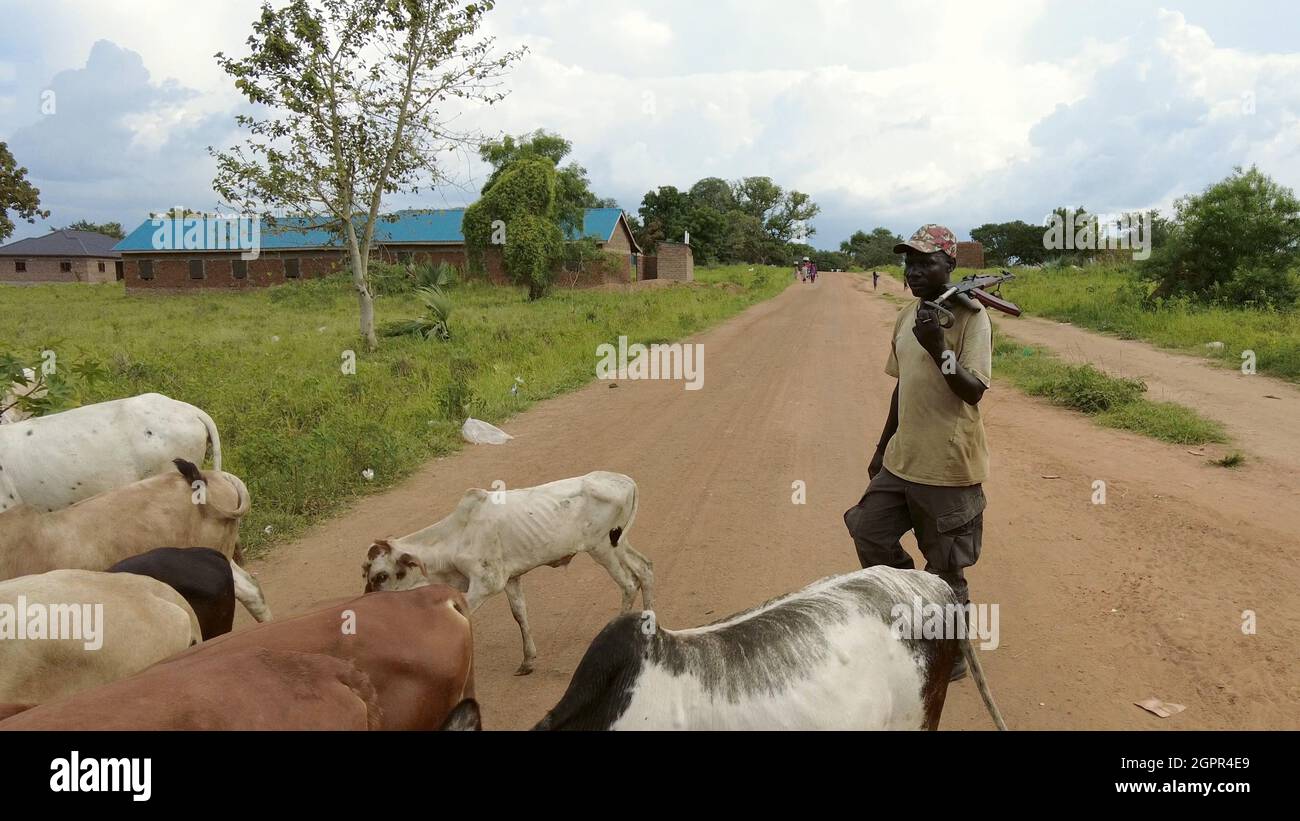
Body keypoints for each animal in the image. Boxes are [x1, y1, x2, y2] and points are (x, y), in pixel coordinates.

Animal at [364, 470, 650, 675]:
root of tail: (625, 481)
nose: (368, 601)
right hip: (618, 545)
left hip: (603, 547)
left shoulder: (486, 584)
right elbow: (519, 614)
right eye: (364, 573)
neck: (455, 537)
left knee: (628, 584)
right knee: (645, 569)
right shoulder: (511, 579)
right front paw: (528, 661)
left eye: (381, 576)